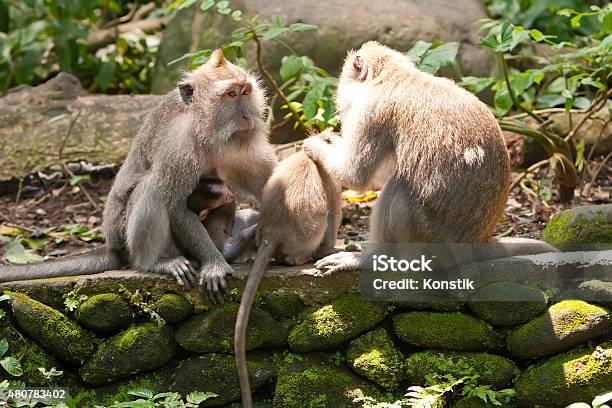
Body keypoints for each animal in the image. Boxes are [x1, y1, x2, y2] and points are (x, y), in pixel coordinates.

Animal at [0, 49, 278, 302]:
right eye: (231, 95)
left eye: (245, 92)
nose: (247, 116)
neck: (203, 128)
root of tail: (114, 247)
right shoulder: (178, 146)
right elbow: (175, 205)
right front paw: (213, 264)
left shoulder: (242, 145)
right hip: (133, 238)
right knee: (151, 189)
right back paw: (154, 262)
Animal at [232, 129, 342, 406]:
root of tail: (272, 233)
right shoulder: (333, 182)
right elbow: (335, 212)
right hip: (308, 235)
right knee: (326, 218)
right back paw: (308, 257)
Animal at [304, 41, 556, 272]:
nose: (339, 100)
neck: (393, 76)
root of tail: (479, 244)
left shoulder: (370, 112)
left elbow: (355, 174)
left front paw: (314, 145)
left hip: (431, 242)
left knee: (399, 190)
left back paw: (372, 258)